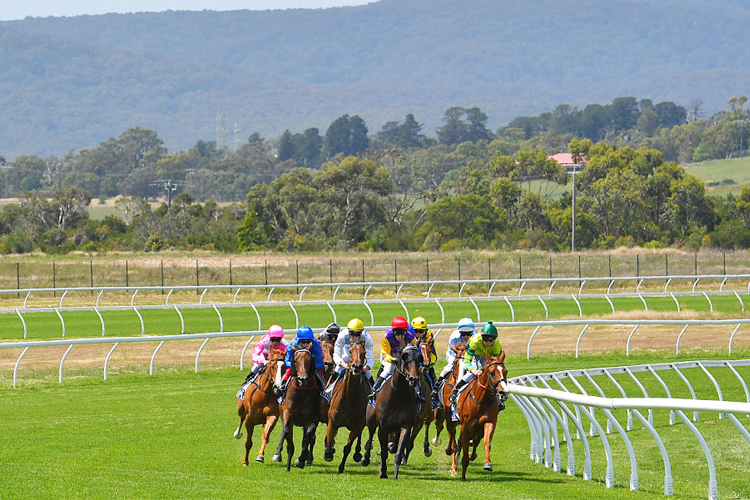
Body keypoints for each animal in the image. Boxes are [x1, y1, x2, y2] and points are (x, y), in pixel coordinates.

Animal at [324, 336, 370, 472]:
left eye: (364, 352)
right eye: (350, 351)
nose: (356, 367)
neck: (350, 397)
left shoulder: (358, 426)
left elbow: (347, 447)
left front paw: (341, 466)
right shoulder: (332, 421)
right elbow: (329, 442)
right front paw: (329, 453)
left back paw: (358, 453)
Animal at [362, 344, 424, 480]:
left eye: (419, 357)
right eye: (405, 357)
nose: (414, 379)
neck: (398, 394)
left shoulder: (406, 425)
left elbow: (399, 451)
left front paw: (395, 474)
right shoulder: (382, 428)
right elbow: (383, 452)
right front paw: (383, 472)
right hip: (370, 420)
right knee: (370, 433)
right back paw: (365, 458)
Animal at [450, 350, 508, 478]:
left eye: (505, 371)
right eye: (492, 373)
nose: (504, 392)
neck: (481, 399)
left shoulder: (489, 421)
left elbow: (486, 443)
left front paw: (487, 463)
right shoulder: (466, 425)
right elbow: (463, 443)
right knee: (458, 442)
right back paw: (454, 467)